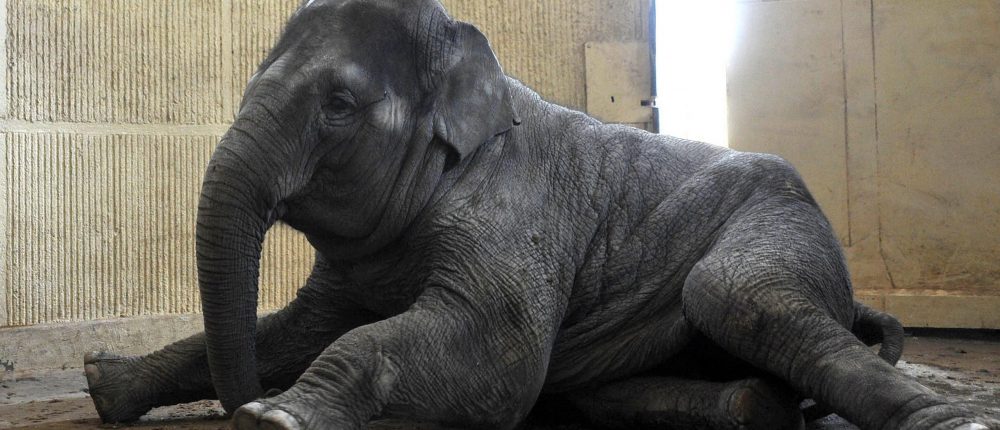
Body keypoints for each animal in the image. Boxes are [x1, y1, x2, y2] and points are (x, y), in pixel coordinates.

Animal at [83, 0, 998, 429]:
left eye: (338, 106)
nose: (235, 404)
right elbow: (298, 329)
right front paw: (103, 384)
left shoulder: (514, 210)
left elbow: (502, 356)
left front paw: (276, 416)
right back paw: (744, 407)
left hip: (784, 215)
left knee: (733, 294)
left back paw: (951, 421)